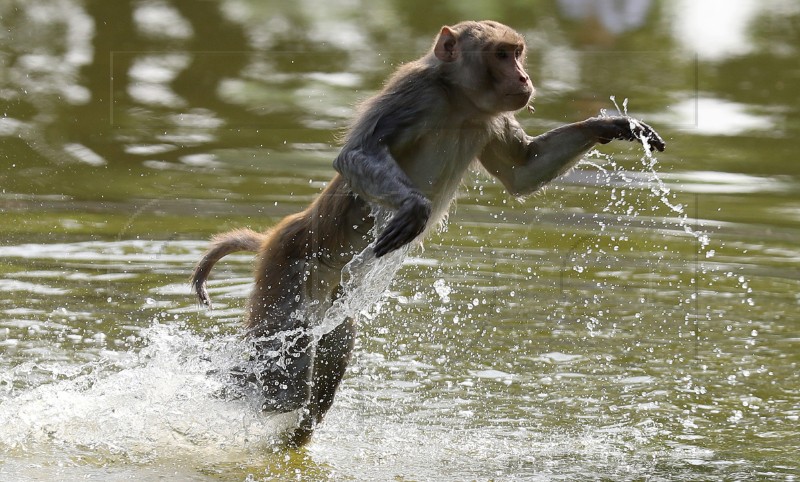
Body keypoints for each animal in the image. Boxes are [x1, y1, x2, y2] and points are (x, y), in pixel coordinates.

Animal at [191, 20, 664, 446]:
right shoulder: (413, 92)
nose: (524, 77)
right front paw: (414, 208)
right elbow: (357, 154)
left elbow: (522, 172)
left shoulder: (490, 119)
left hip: (331, 299)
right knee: (284, 374)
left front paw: (611, 125)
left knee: (319, 366)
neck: (459, 102)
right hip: (289, 267)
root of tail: (286, 229)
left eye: (517, 53)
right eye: (502, 55)